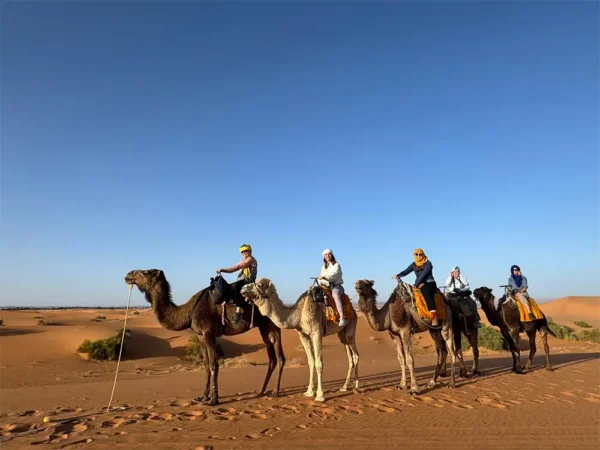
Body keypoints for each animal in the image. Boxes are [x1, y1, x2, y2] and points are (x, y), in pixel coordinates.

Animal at [124, 269, 285, 405]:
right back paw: (261, 391)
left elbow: (214, 365)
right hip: (264, 328)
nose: (128, 275)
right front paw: (203, 397)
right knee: (272, 358)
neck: (189, 311)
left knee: (280, 357)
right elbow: (206, 365)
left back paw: (275, 392)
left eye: (146, 272)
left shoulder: (209, 333)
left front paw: (213, 400)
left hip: (272, 323)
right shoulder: (200, 335)